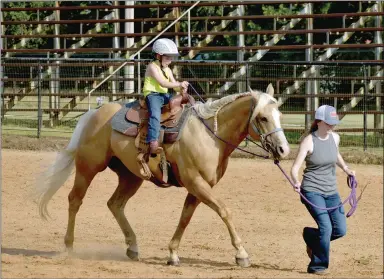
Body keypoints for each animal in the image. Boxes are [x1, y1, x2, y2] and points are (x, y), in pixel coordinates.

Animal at [36, 84, 290, 268]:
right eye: (263, 118)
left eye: (279, 114)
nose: (283, 150)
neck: (209, 135)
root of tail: (95, 113)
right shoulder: (196, 183)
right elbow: (224, 211)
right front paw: (241, 254)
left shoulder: (198, 187)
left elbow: (185, 217)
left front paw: (173, 253)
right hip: (88, 168)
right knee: (75, 200)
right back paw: (69, 246)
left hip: (131, 176)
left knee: (115, 204)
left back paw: (133, 247)